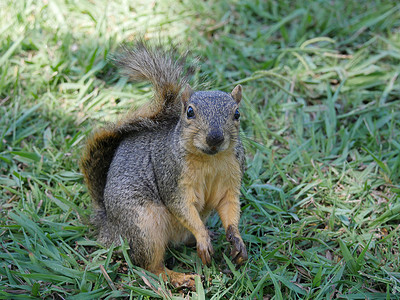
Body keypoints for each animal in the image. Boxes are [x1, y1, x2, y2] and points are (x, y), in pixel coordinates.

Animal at [80, 41, 248, 290]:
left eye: (236, 114)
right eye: (189, 112)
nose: (215, 138)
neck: (209, 159)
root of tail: (109, 226)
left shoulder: (231, 177)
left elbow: (229, 206)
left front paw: (236, 239)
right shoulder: (171, 176)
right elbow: (182, 206)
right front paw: (202, 237)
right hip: (144, 226)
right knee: (150, 266)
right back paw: (179, 276)